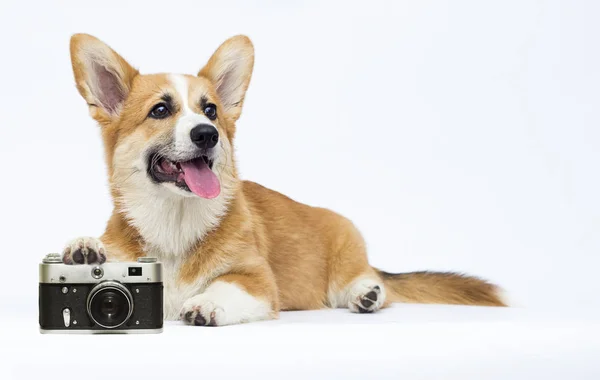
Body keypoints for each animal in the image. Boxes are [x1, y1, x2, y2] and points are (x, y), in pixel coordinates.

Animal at [63, 33, 506, 326]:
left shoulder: (257, 280)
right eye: (159, 110)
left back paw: (367, 293)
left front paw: (206, 304)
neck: (174, 220)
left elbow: (226, 287)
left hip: (347, 251)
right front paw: (85, 249)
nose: (208, 134)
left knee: (370, 281)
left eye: (210, 110)